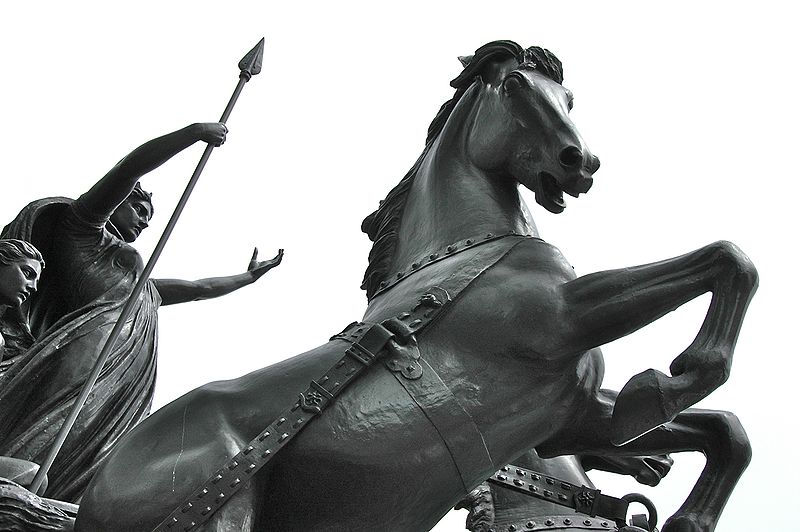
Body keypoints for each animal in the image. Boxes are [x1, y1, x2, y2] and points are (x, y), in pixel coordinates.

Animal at [75, 40, 756, 532]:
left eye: (569, 95)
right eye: (515, 87)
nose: (579, 164)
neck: (460, 256)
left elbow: (725, 429)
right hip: (213, 512)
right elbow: (727, 261)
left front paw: (685, 500)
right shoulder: (564, 315)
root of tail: (99, 489)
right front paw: (684, 371)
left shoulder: (577, 413)